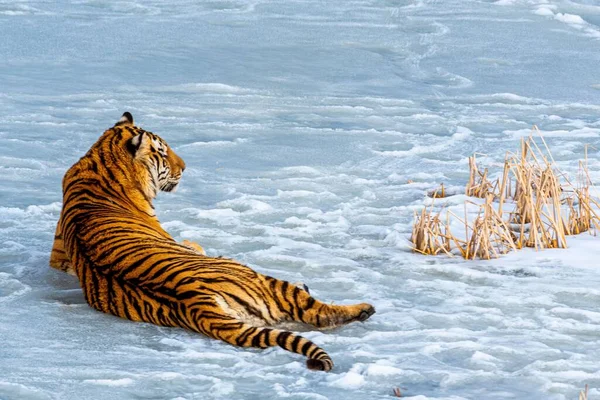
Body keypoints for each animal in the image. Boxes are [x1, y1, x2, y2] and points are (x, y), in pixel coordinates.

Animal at [49, 111, 376, 370]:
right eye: (163, 153)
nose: (185, 166)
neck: (98, 163)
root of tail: (196, 300)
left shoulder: (59, 254)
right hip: (261, 278)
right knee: (318, 312)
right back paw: (361, 308)